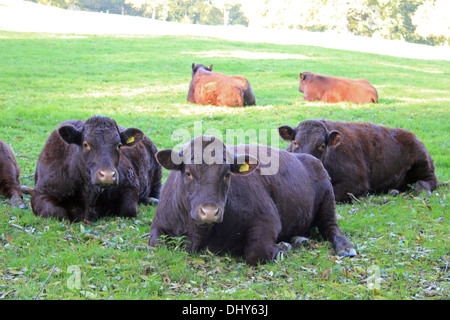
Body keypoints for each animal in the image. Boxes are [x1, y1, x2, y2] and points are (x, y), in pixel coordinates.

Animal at [31, 115, 162, 222]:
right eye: (85, 144)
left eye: (119, 145)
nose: (108, 175)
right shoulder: (41, 192)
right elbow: (57, 213)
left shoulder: (131, 182)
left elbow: (129, 210)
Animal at [149, 135, 356, 264]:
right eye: (188, 172)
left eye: (227, 174)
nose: (209, 212)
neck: (197, 235)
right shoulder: (158, 226)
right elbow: (156, 244)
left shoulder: (268, 220)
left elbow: (257, 253)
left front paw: (283, 247)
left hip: (328, 200)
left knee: (331, 227)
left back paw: (344, 247)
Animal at [280, 119, 438, 204]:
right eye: (295, 142)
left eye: (322, 145)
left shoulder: (356, 182)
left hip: (422, 162)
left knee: (430, 181)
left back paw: (421, 187)